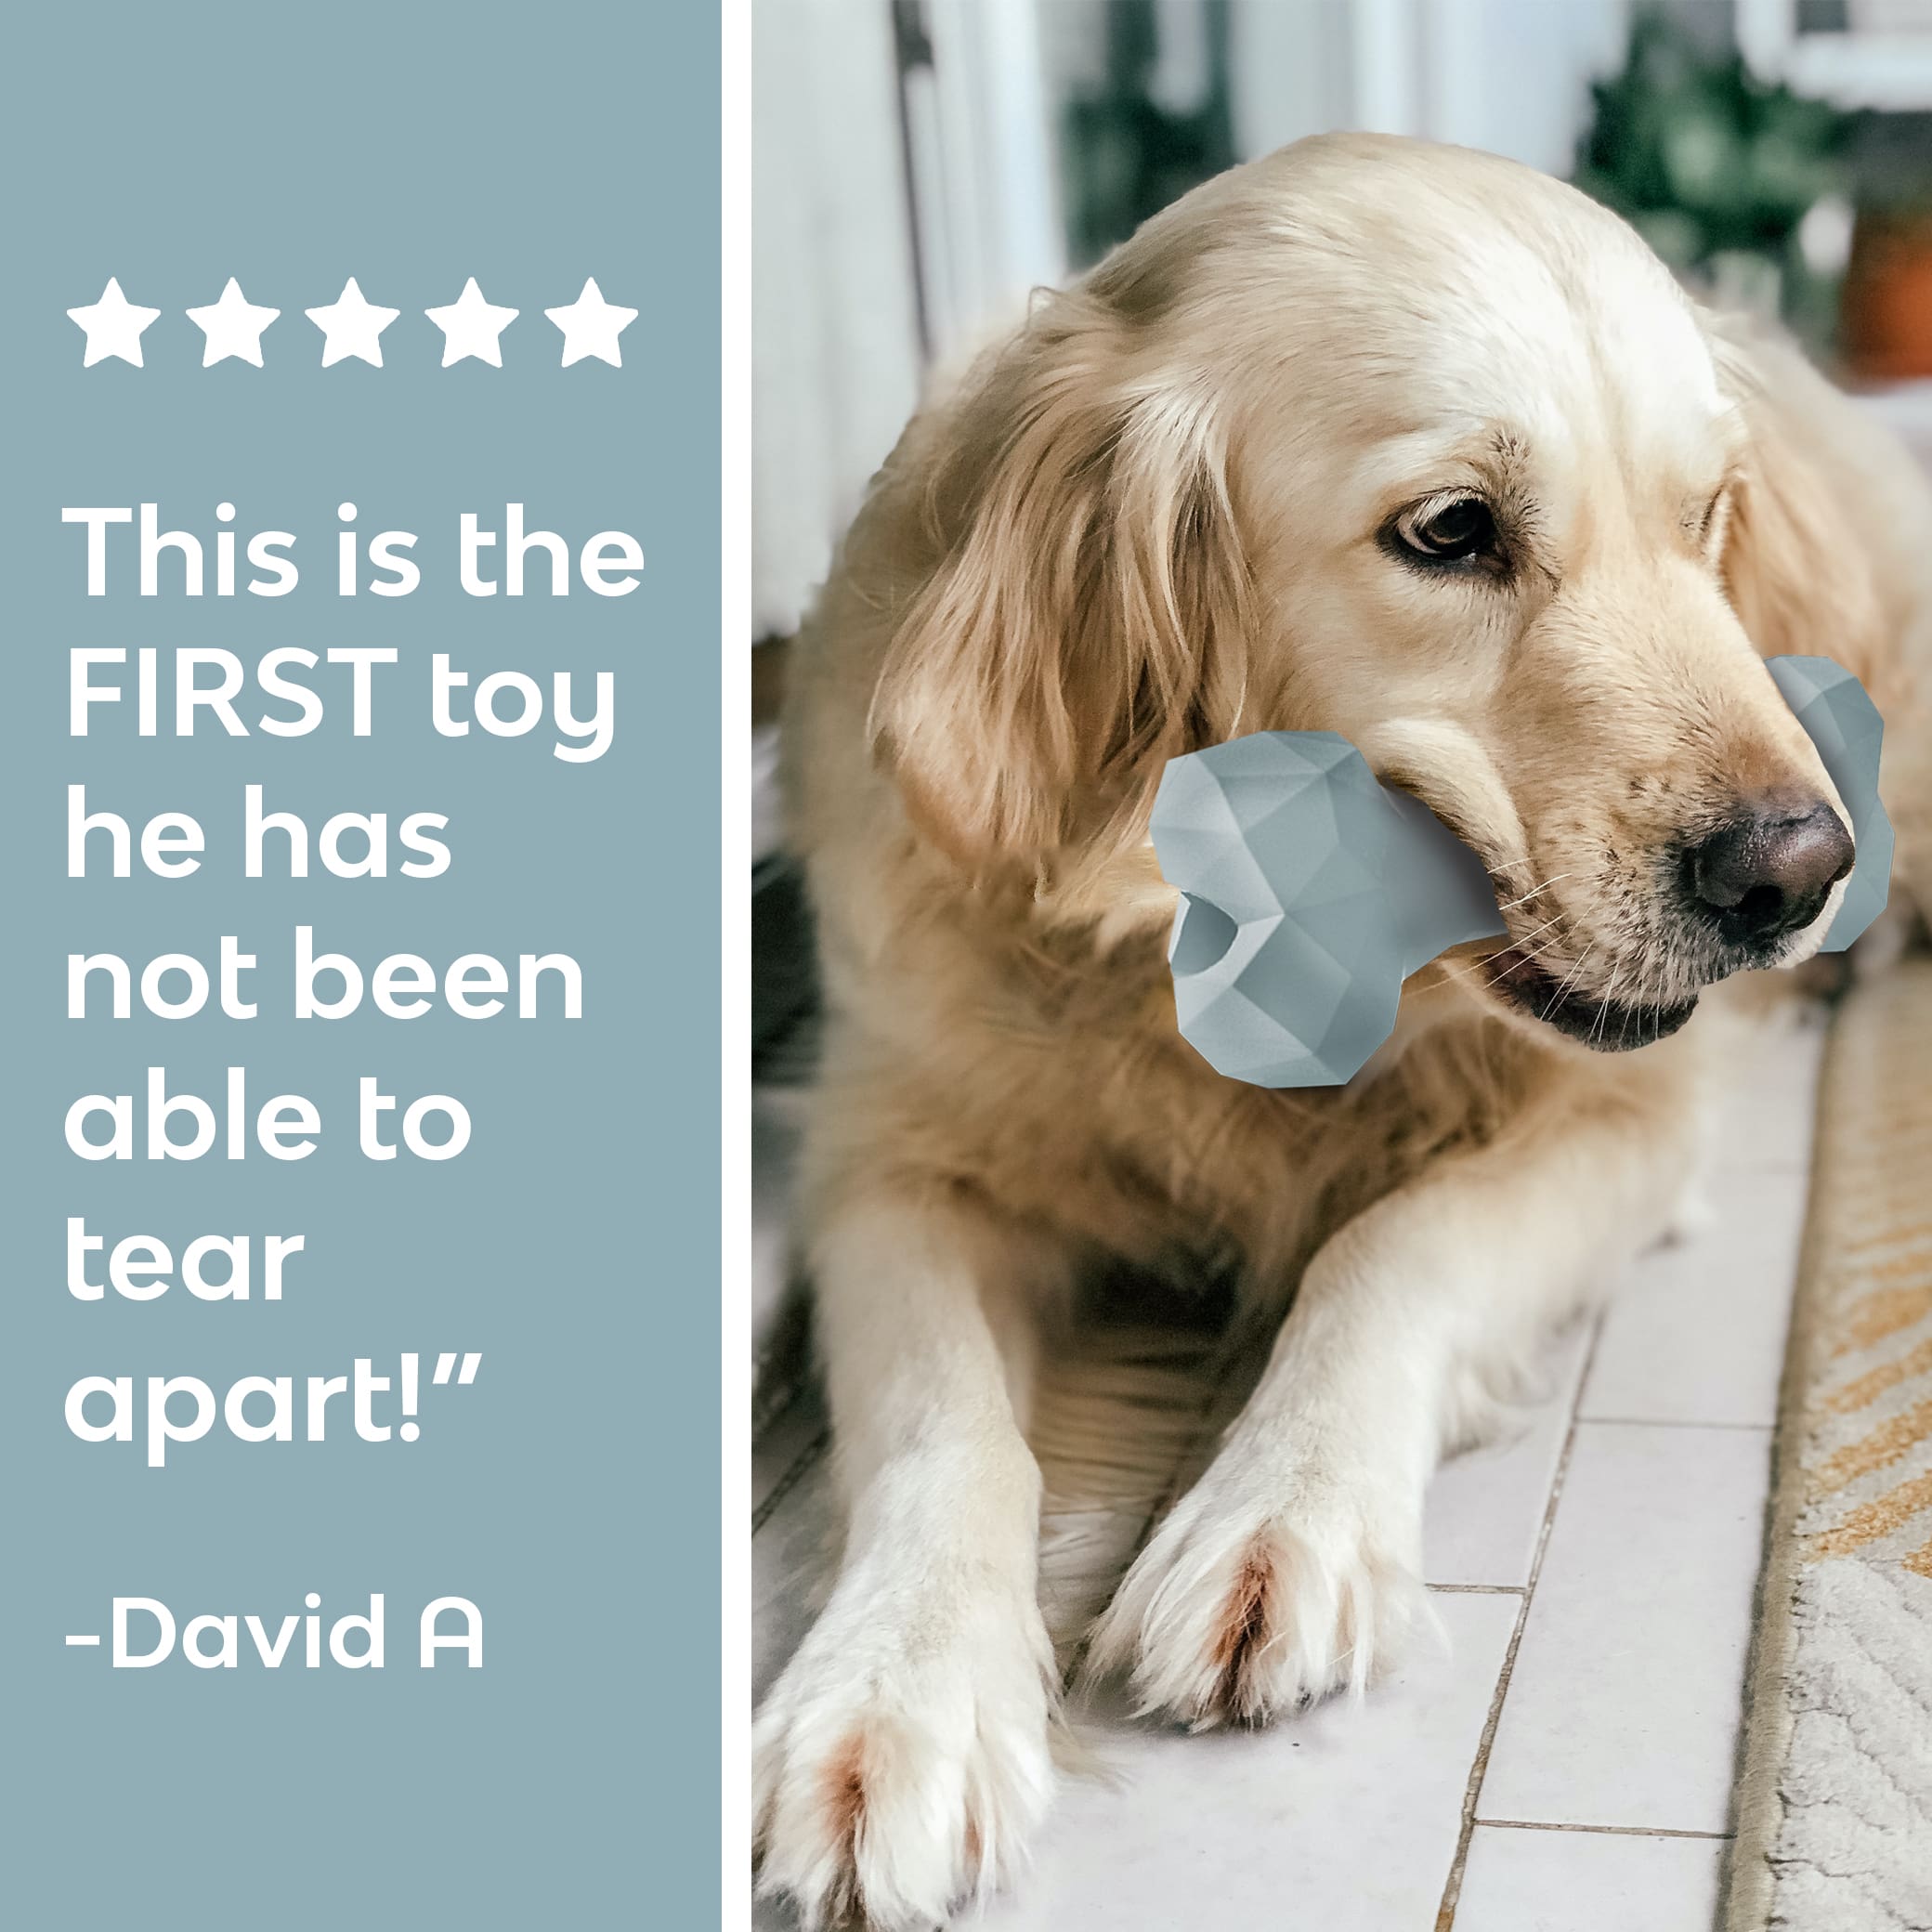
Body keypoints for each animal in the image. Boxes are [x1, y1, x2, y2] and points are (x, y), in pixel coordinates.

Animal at [750, 128, 1932, 1924]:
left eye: (1707, 516)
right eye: (1451, 532)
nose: (1799, 874)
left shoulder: (1630, 1122)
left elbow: (1397, 1243)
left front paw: (1279, 1511)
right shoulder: (888, 1167)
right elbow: (939, 1421)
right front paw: (896, 1692)